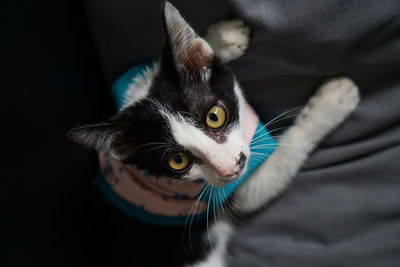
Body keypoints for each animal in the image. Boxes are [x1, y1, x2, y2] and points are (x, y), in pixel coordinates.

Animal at [69, 1, 360, 266]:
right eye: (178, 160)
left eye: (214, 116)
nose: (230, 168)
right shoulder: (231, 194)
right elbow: (266, 180)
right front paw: (333, 102)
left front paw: (223, 37)